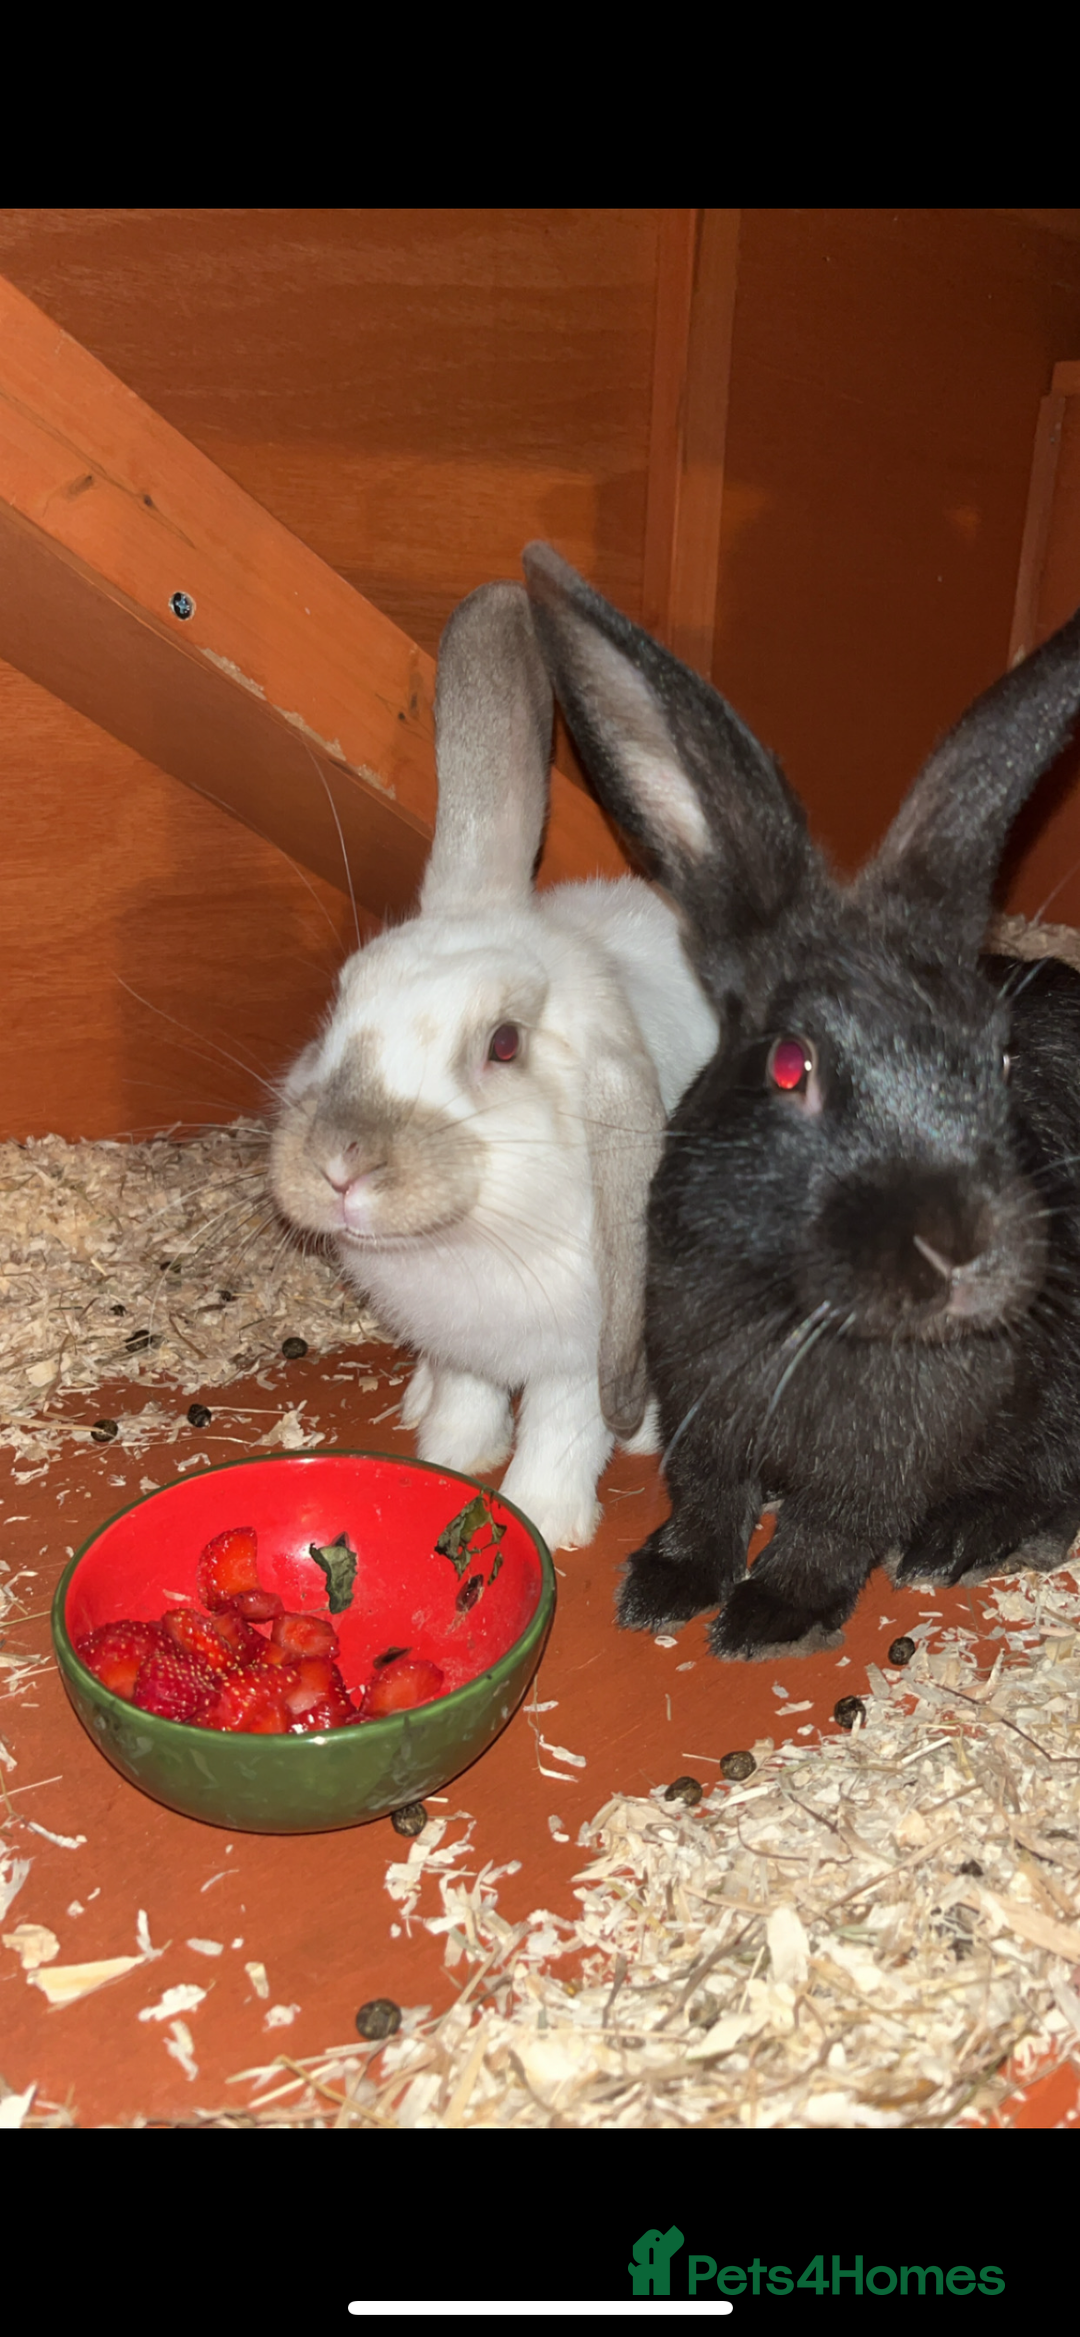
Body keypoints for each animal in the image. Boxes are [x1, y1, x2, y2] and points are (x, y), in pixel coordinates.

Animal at [269, 581, 719, 1552]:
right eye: (341, 1001)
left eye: (503, 1044)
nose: (339, 1164)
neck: (471, 1240)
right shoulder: (463, 1347)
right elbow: (470, 1399)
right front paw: (450, 1457)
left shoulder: (579, 1353)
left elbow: (562, 1431)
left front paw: (547, 1520)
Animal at [522, 537, 1080, 1657]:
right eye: (789, 1067)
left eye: (999, 1060)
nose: (965, 1254)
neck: (802, 1305)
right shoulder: (702, 1406)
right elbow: (711, 1501)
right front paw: (664, 1588)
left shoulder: (884, 1454)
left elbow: (833, 1525)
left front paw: (771, 1618)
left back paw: (967, 1539)